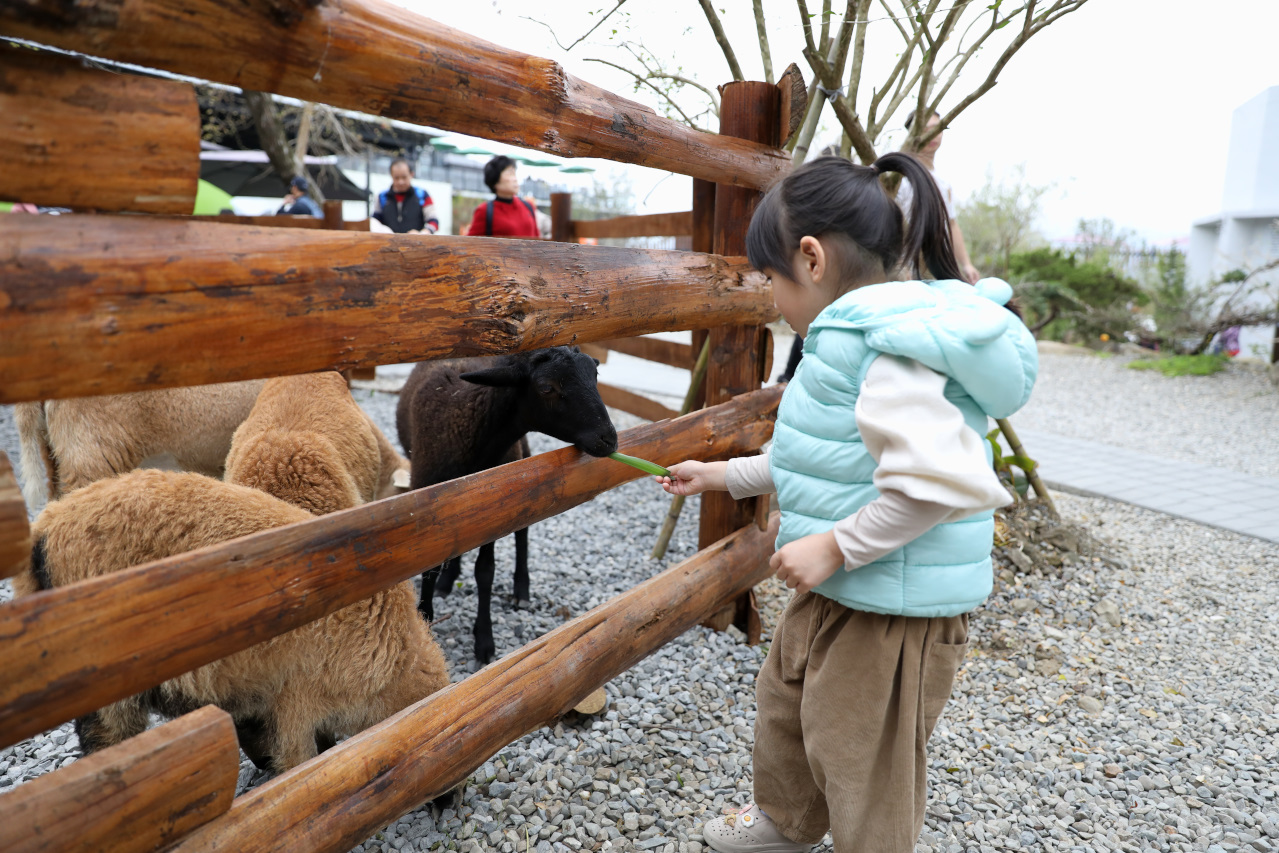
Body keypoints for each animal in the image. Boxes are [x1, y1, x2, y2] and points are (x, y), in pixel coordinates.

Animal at [15, 470, 452, 777]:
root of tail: (47, 527)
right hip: (109, 687)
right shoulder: (298, 699)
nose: (449, 803)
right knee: (104, 741)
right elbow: (303, 760)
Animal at [399, 345, 619, 659]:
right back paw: (448, 580)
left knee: (522, 532)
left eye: (595, 376)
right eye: (547, 388)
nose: (609, 439)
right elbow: (430, 568)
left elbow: (485, 572)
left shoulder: (498, 507)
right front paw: (426, 617)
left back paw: (521, 591)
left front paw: (484, 640)